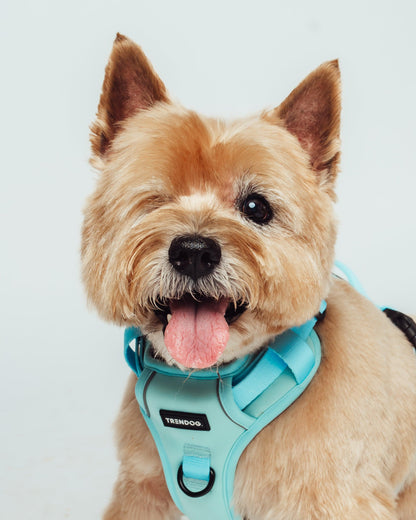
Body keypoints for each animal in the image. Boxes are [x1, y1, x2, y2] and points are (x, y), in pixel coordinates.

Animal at [82, 34, 416, 519]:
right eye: (156, 201)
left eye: (256, 207)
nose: (194, 252)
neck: (209, 381)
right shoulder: (142, 492)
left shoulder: (333, 498)